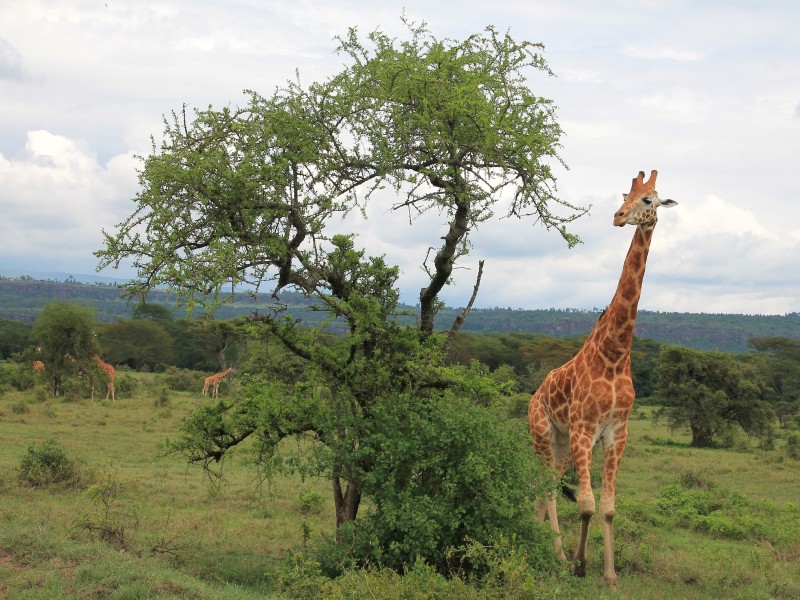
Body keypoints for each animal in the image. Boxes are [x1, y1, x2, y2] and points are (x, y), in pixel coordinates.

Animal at [528, 170, 677, 589]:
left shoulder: (616, 432)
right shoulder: (584, 428)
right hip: (544, 434)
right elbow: (586, 503)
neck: (614, 354)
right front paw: (580, 564)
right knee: (545, 489)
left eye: (648, 200)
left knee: (545, 489)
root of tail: (533, 396)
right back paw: (559, 556)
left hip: (561, 445)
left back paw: (543, 545)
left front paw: (609, 575)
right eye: (625, 195)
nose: (618, 216)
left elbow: (608, 507)